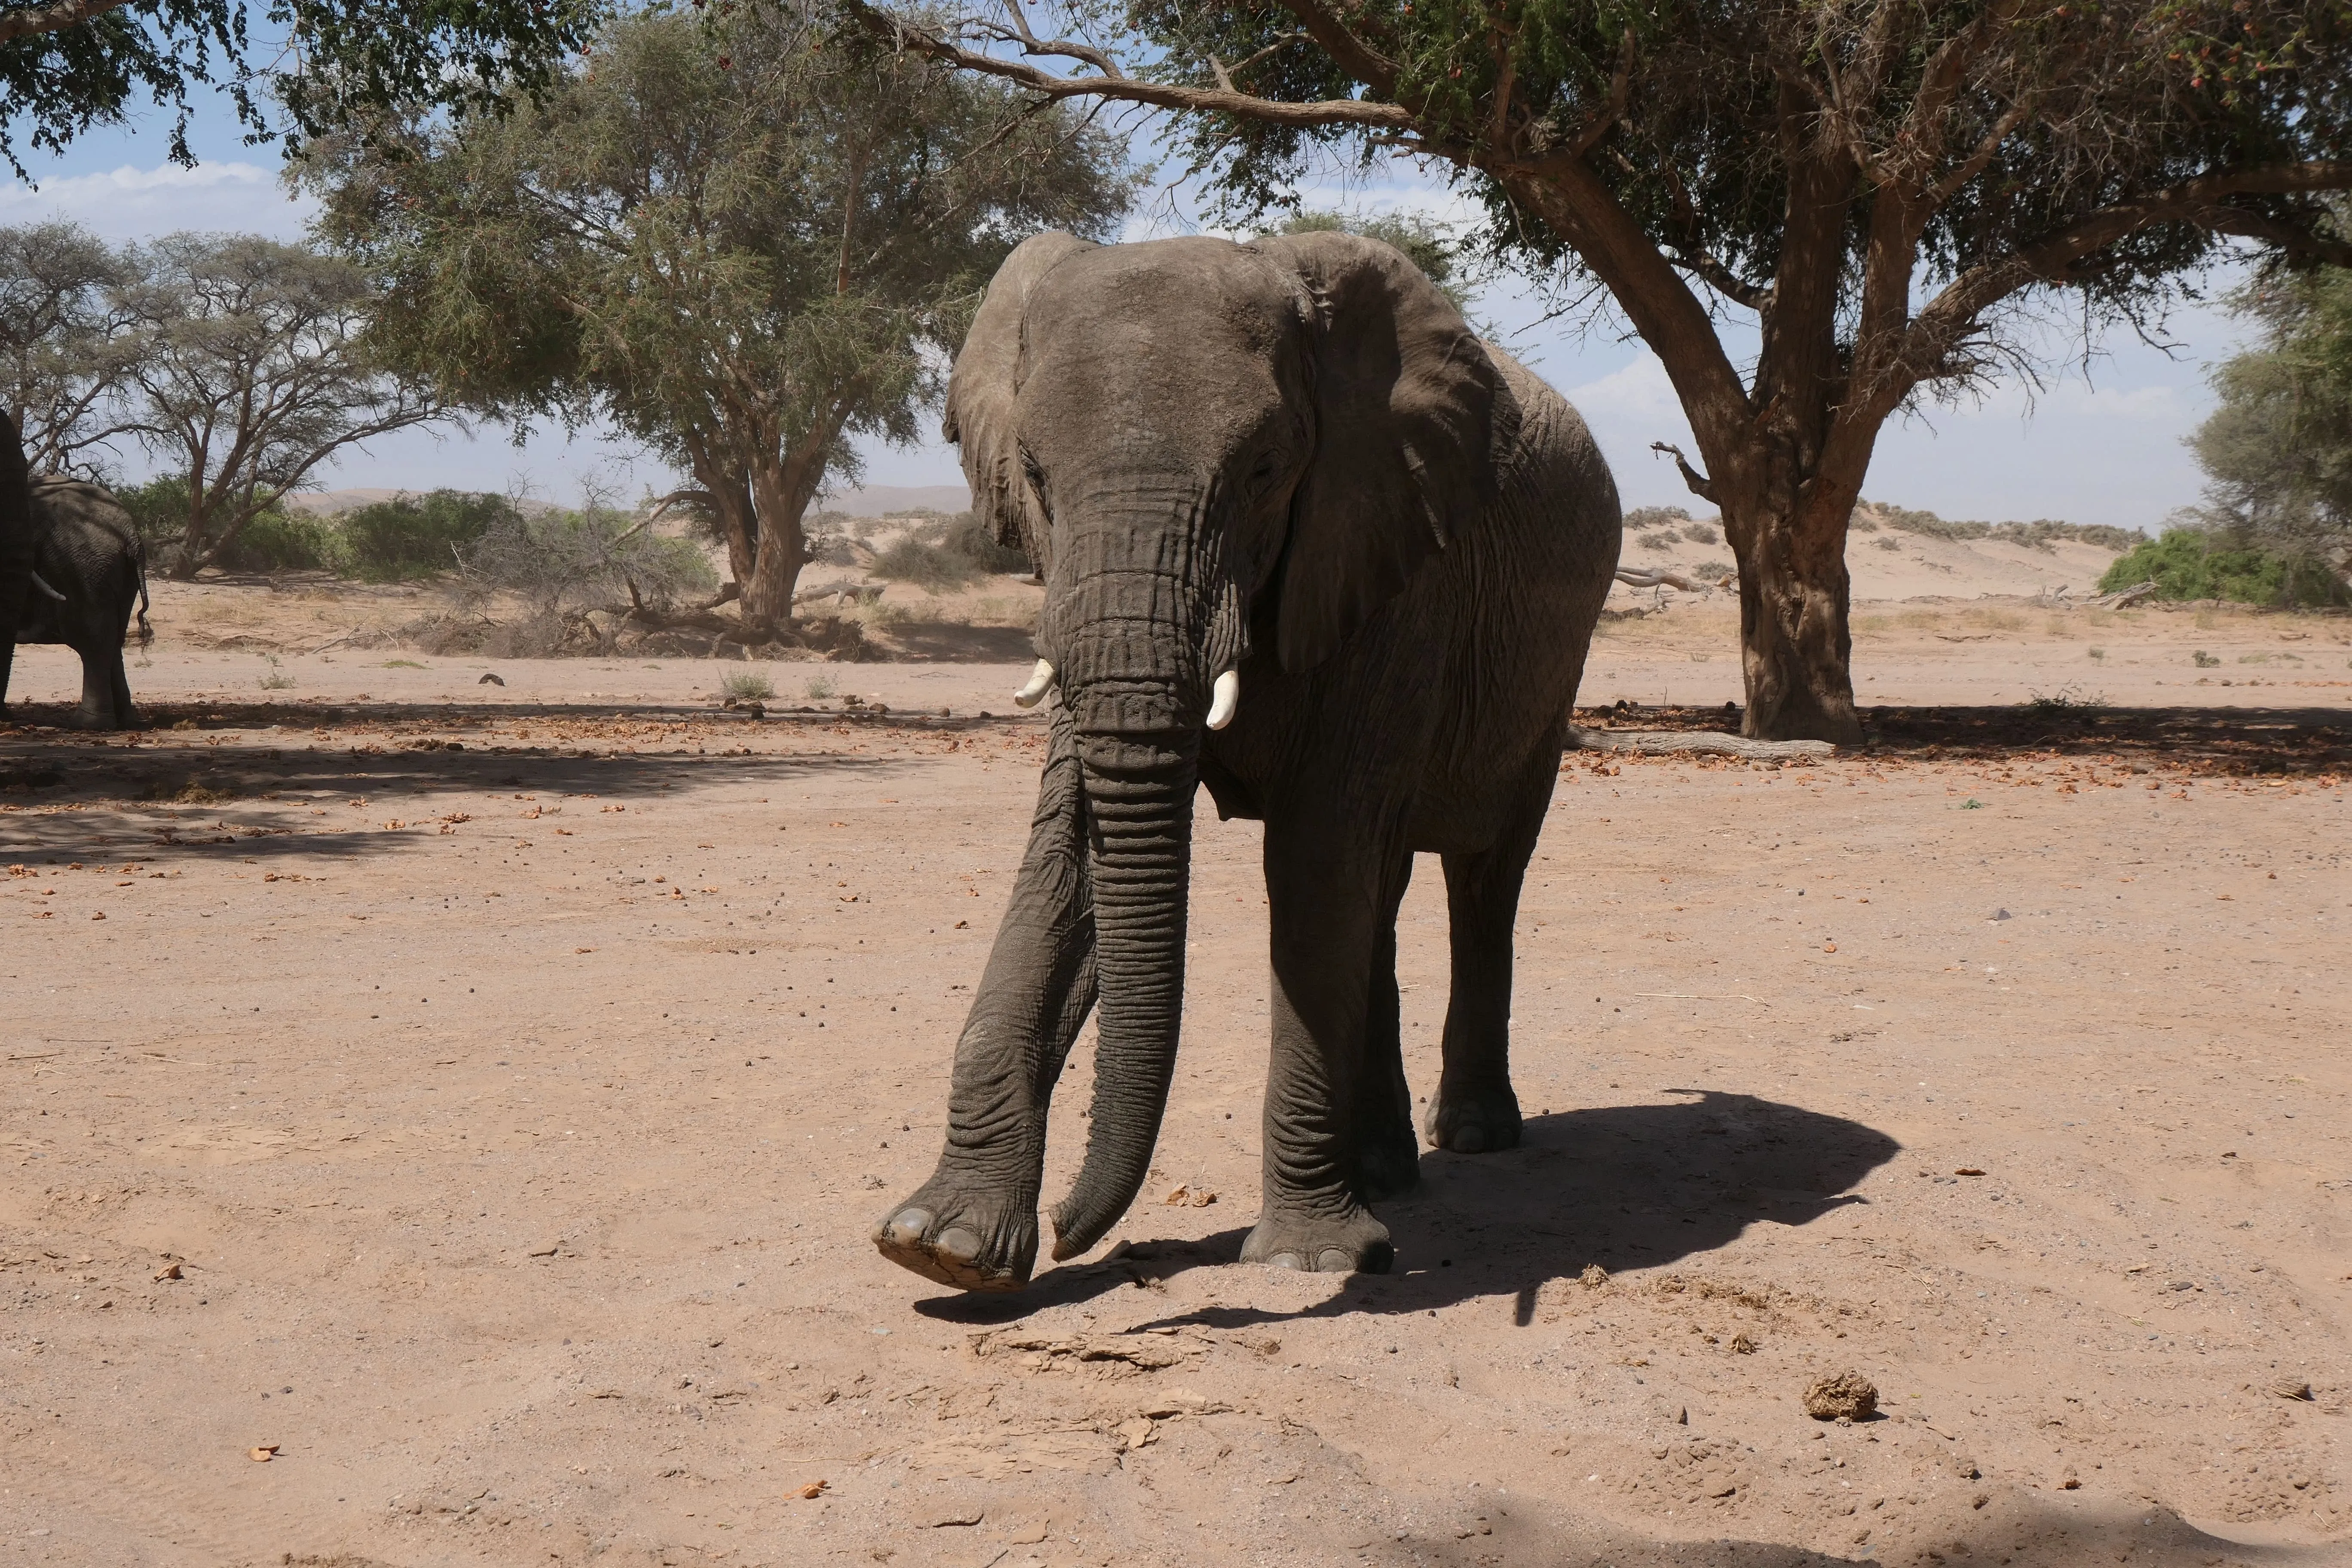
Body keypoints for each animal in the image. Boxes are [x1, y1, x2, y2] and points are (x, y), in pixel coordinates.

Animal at [8, 475, 151, 729]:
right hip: (120, 575)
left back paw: (89, 725)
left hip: (83, 568)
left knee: (92, 639)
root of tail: (131, 536)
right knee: (114, 639)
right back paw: (126, 721)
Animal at [873, 230, 1620, 1291]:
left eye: (1266, 470)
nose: (1071, 1232)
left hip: (1549, 673)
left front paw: (1312, 1259)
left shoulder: (1391, 566)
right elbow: (1066, 865)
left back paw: (1471, 1137)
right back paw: (1385, 1173)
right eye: (1035, 477)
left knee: (1482, 874)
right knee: (1380, 893)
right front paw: (944, 1247)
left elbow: (1313, 860)